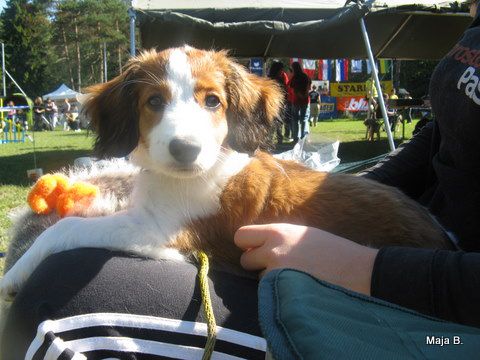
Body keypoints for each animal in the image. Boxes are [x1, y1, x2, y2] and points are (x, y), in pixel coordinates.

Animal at [0, 45, 450, 298]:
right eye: (154, 101)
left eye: (213, 101)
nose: (185, 149)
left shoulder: (160, 231)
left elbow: (65, 230)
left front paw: (17, 272)